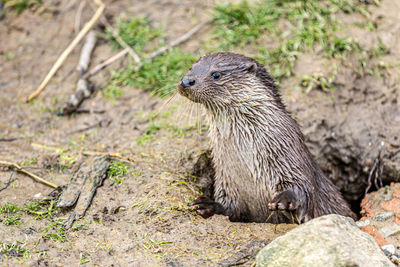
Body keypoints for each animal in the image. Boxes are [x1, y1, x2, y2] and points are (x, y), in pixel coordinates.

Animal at [178, 52, 356, 224]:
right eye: (191, 67)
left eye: (216, 74)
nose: (186, 81)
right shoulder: (226, 179)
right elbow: (229, 207)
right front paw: (208, 205)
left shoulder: (290, 156)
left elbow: (302, 186)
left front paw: (285, 199)